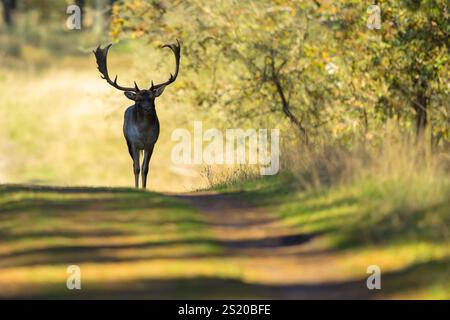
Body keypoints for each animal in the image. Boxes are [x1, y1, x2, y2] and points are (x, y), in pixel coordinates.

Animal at [93, 41, 181, 189]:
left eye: (152, 98)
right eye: (138, 99)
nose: (148, 108)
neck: (143, 134)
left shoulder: (151, 144)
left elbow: (145, 168)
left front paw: (144, 187)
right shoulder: (133, 143)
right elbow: (136, 168)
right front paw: (137, 187)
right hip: (127, 142)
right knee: (134, 164)